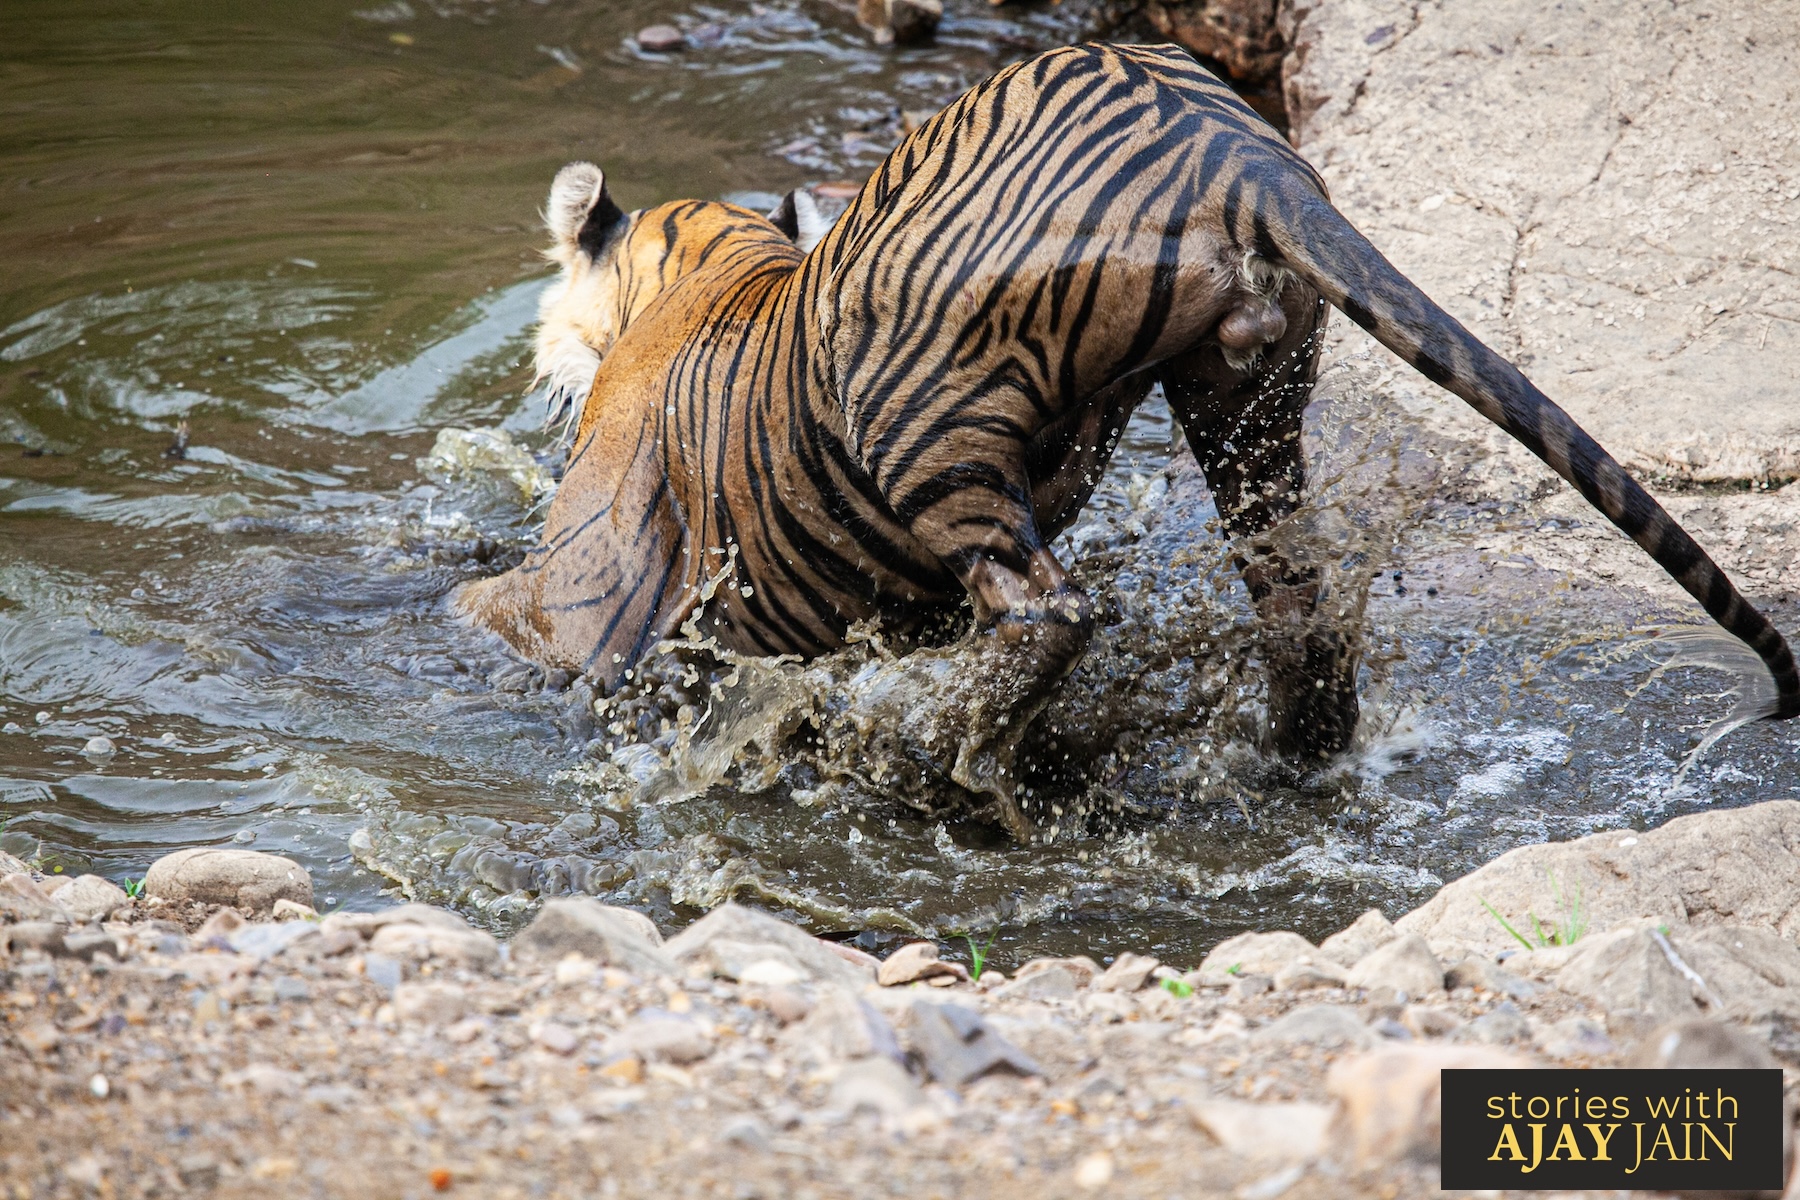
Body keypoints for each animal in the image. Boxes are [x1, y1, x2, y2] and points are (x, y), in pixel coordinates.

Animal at [459, 41, 1798, 825]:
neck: (714, 266)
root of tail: (1244, 148)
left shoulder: (588, 594)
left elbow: (512, 614)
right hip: (1248, 405)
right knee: (1298, 607)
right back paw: (1283, 758)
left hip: (924, 418)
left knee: (1046, 607)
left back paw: (946, 754)